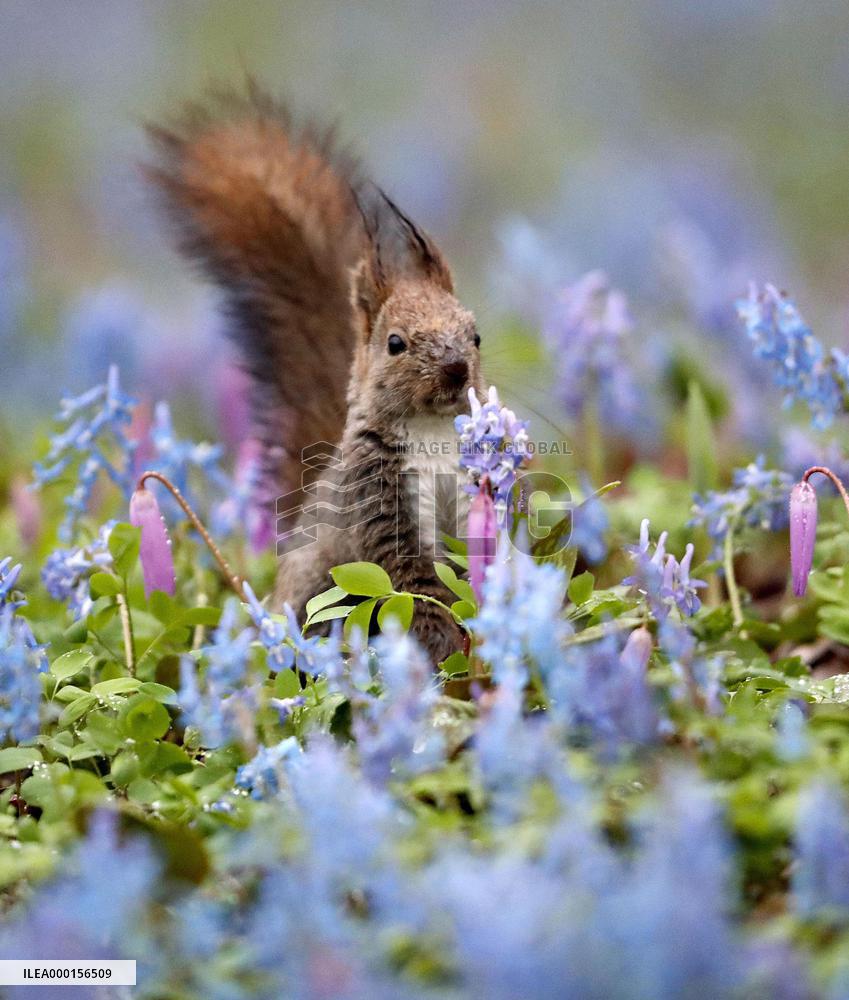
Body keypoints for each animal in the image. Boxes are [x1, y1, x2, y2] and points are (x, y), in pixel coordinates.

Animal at [145, 83, 486, 665]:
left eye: (475, 335)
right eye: (395, 343)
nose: (456, 369)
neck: (432, 434)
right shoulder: (378, 503)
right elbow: (414, 585)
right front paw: (443, 645)